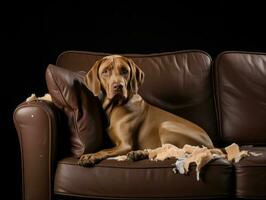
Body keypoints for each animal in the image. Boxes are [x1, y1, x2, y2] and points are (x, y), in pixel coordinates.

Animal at [78, 54, 213, 167]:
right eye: (105, 71)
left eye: (125, 71)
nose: (118, 86)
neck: (116, 106)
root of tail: (211, 145)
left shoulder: (125, 145)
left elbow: (104, 150)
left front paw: (91, 156)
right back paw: (138, 154)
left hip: (166, 125)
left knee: (174, 150)